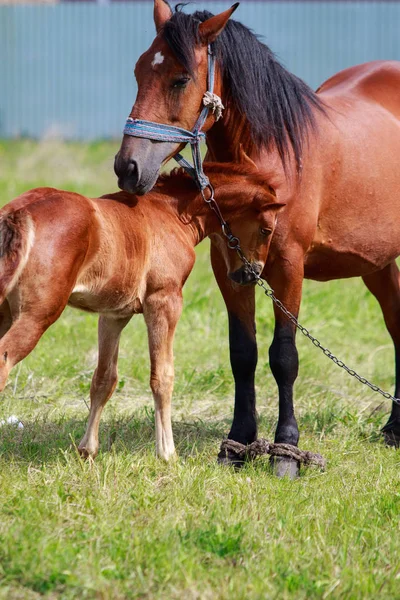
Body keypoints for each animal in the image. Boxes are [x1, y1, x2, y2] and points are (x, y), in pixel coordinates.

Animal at [0, 164, 282, 460]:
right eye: (266, 229)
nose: (251, 274)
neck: (171, 213)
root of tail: (19, 213)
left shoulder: (114, 315)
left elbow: (104, 379)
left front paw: (87, 449)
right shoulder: (164, 301)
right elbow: (163, 375)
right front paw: (167, 453)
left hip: (4, 311)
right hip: (38, 315)